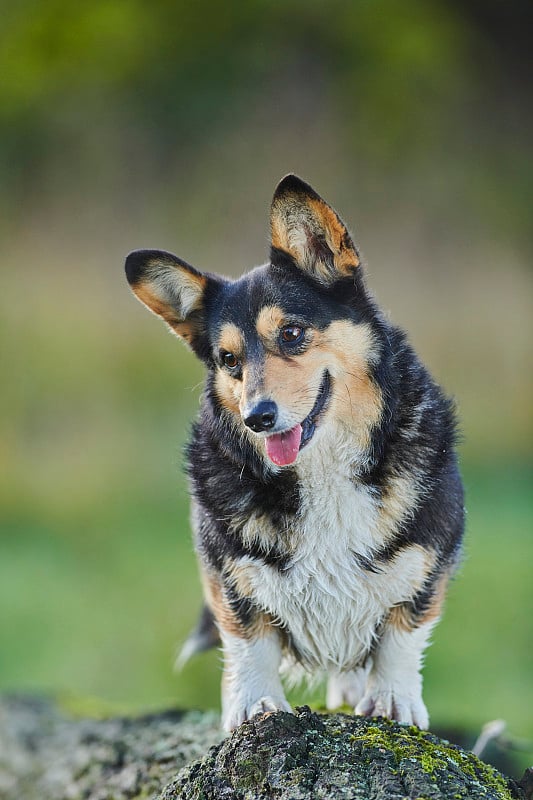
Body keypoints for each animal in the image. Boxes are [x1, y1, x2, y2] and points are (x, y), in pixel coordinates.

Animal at [123, 173, 462, 732]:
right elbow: (249, 638)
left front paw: (392, 700)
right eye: (229, 359)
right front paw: (254, 705)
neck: (321, 469)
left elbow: (401, 629)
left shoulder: (429, 553)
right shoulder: (228, 569)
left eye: (291, 332)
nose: (257, 418)